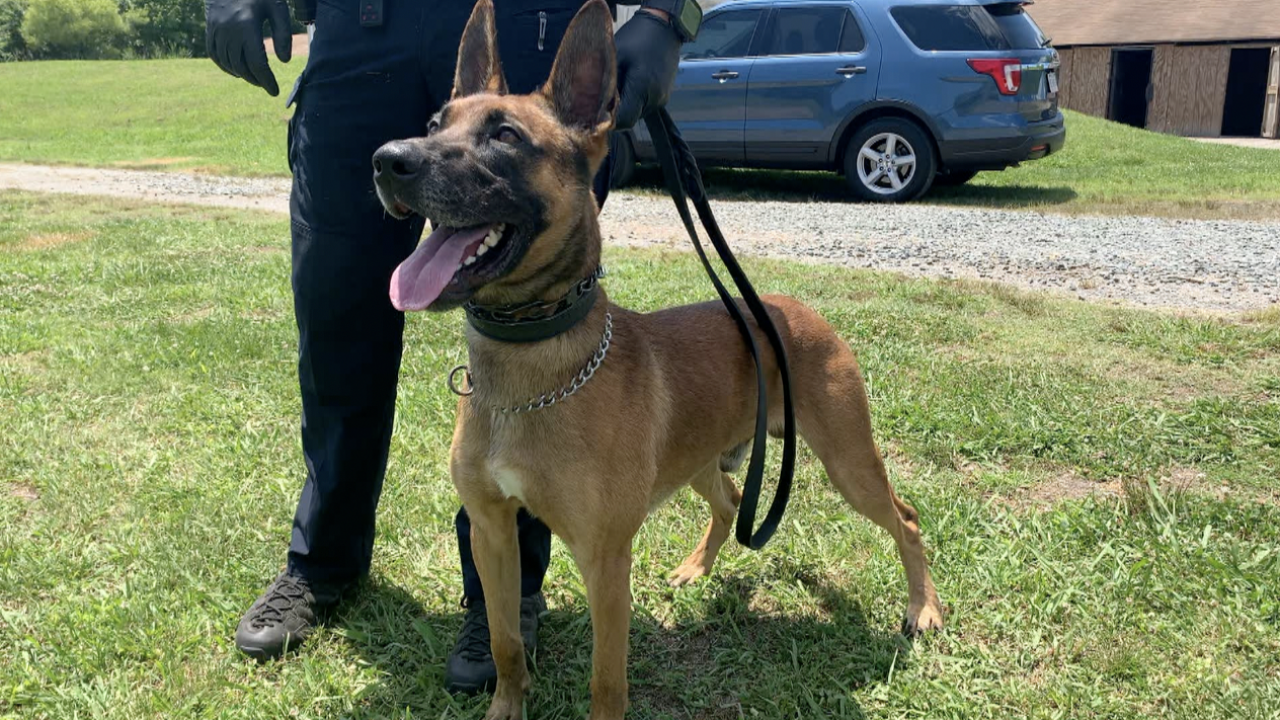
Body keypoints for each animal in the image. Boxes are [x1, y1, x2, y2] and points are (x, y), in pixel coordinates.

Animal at [371, 2, 942, 712]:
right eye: (432, 126)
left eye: (504, 135)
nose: (386, 159)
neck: (533, 371)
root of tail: (796, 310)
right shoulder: (491, 531)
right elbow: (505, 644)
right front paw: (506, 706)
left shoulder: (604, 559)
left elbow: (606, 680)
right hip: (699, 458)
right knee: (730, 500)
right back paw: (698, 567)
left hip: (848, 461)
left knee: (906, 519)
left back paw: (923, 610)